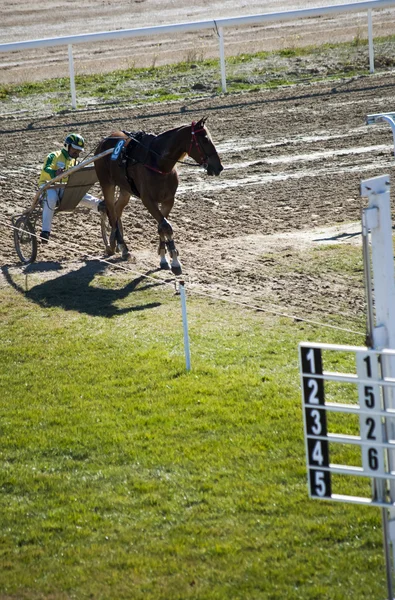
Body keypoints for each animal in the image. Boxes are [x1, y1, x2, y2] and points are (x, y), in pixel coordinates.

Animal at [93, 116, 223, 274]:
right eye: (204, 140)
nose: (219, 167)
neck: (158, 162)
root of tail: (102, 143)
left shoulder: (168, 200)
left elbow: (162, 226)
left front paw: (164, 258)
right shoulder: (148, 200)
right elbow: (166, 226)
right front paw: (175, 261)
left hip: (125, 190)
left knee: (117, 211)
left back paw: (116, 245)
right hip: (107, 184)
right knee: (111, 213)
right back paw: (122, 247)